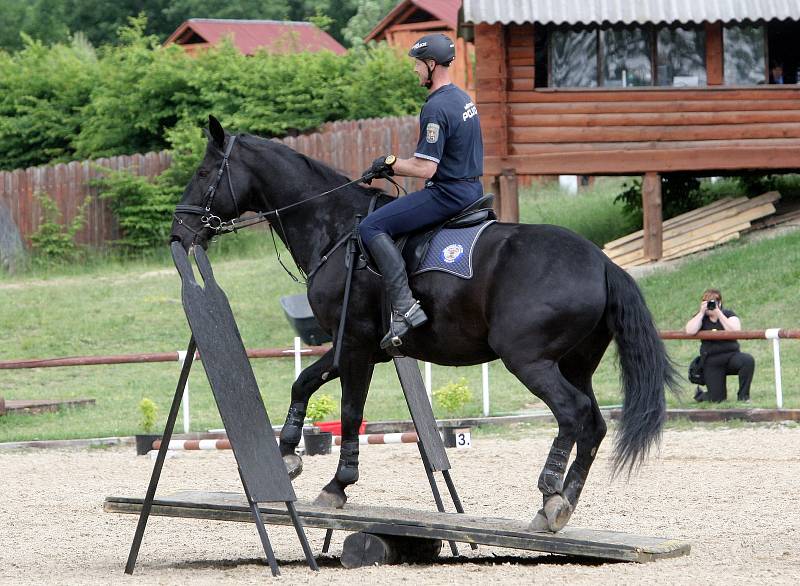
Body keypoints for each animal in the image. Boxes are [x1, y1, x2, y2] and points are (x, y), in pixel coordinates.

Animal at [172, 116, 680, 532]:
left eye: (203, 174)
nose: (179, 231)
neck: (335, 226)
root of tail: (602, 263)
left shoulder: (355, 346)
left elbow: (350, 410)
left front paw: (337, 484)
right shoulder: (353, 346)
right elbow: (303, 383)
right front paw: (289, 452)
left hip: (529, 360)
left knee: (573, 414)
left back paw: (550, 492)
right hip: (575, 364)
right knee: (593, 424)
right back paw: (560, 506)